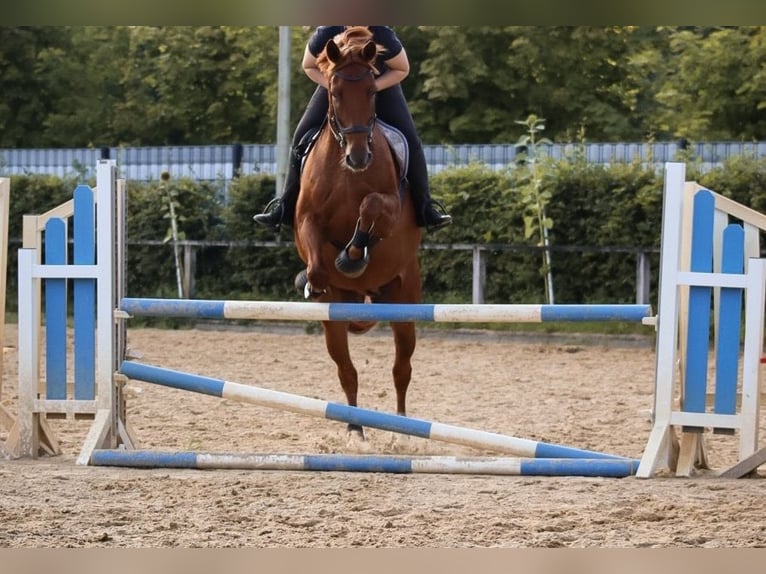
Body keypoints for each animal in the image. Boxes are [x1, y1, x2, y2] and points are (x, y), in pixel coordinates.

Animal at [294, 28, 426, 440]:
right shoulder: (305, 220)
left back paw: (400, 429)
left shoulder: (391, 207)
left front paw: (353, 254)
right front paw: (314, 278)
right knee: (346, 371)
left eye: (371, 91)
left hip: (404, 300)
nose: (358, 157)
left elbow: (370, 208)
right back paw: (355, 429)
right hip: (333, 326)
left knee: (402, 369)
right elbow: (318, 261)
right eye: (334, 92)